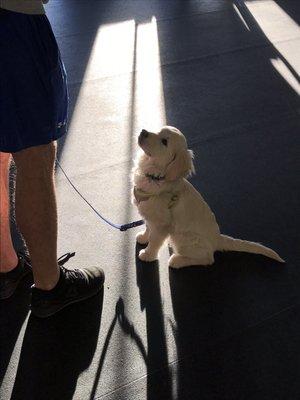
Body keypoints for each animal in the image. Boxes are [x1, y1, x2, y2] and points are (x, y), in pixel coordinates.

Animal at [132, 126, 284, 268]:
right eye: (157, 129)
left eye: (164, 142)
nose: (143, 132)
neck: (154, 177)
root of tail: (217, 239)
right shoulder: (148, 213)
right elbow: (148, 227)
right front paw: (143, 237)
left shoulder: (162, 224)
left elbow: (155, 241)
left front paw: (147, 254)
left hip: (182, 238)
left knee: (208, 258)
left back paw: (177, 260)